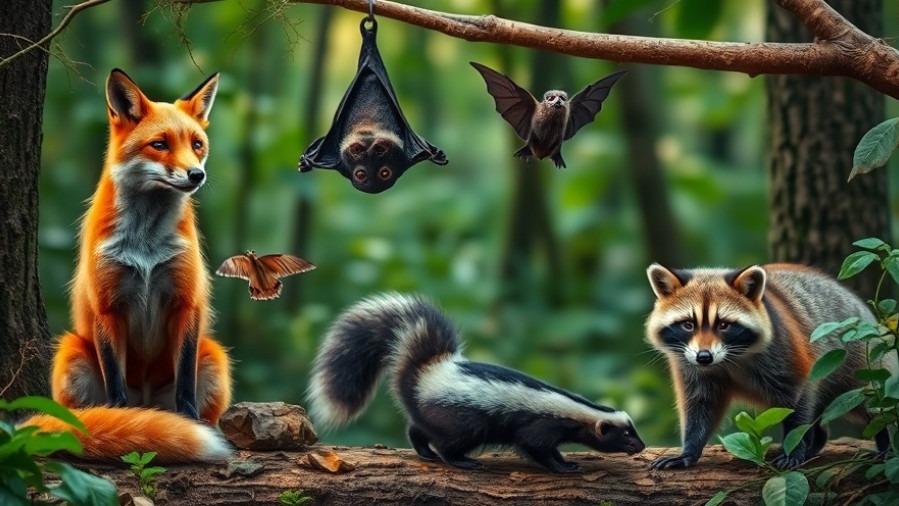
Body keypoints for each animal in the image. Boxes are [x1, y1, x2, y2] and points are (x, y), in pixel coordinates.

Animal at [21, 69, 232, 463]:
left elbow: (185, 384)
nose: (196, 175)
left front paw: (187, 422)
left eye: (197, 144)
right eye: (160, 144)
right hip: (72, 355)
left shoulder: (186, 303)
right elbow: (115, 383)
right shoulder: (108, 307)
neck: (145, 246)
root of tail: (146, 399)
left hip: (213, 356)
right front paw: (124, 423)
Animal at [645, 263, 896, 470]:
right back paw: (816, 442)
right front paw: (689, 450)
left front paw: (794, 448)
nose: (704, 357)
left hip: (860, 365)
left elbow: (798, 398)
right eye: (688, 325)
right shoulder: (690, 363)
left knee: (873, 404)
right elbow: (700, 405)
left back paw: (885, 439)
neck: (728, 358)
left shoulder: (787, 351)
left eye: (724, 325)